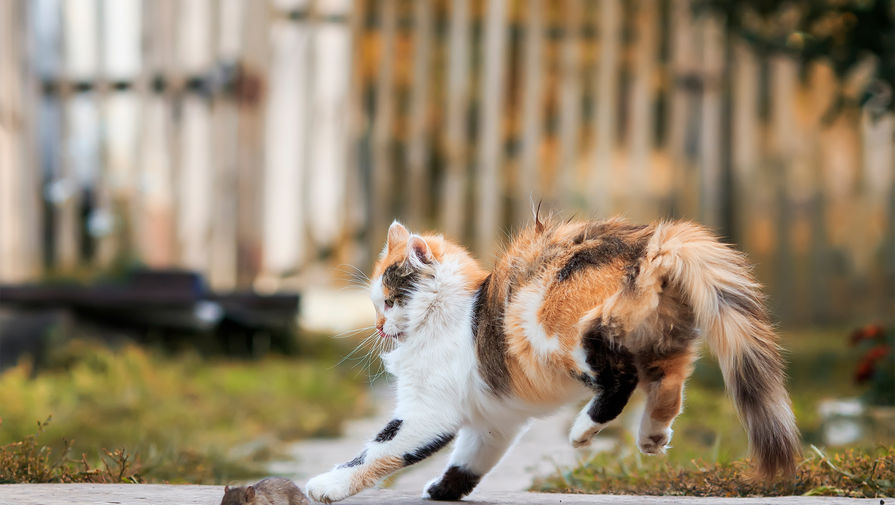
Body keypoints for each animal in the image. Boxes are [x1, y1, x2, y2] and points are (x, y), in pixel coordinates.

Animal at [304, 215, 800, 502]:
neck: (451, 313)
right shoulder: (494, 420)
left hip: (557, 328)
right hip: (660, 335)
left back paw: (585, 428)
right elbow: (472, 458)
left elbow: (378, 450)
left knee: (621, 378)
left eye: (389, 301)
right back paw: (652, 435)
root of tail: (649, 242)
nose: (378, 327)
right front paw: (444, 490)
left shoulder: (427, 410)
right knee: (669, 379)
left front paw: (327, 485)